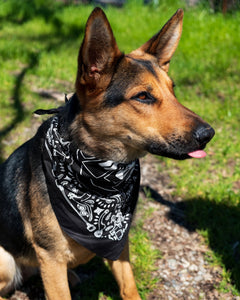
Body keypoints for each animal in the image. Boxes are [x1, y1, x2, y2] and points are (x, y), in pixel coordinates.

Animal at [0, 6, 214, 300]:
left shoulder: (120, 246)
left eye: (173, 90)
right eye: (143, 96)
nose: (209, 134)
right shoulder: (50, 258)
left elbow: (129, 287)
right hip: (6, 262)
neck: (98, 172)